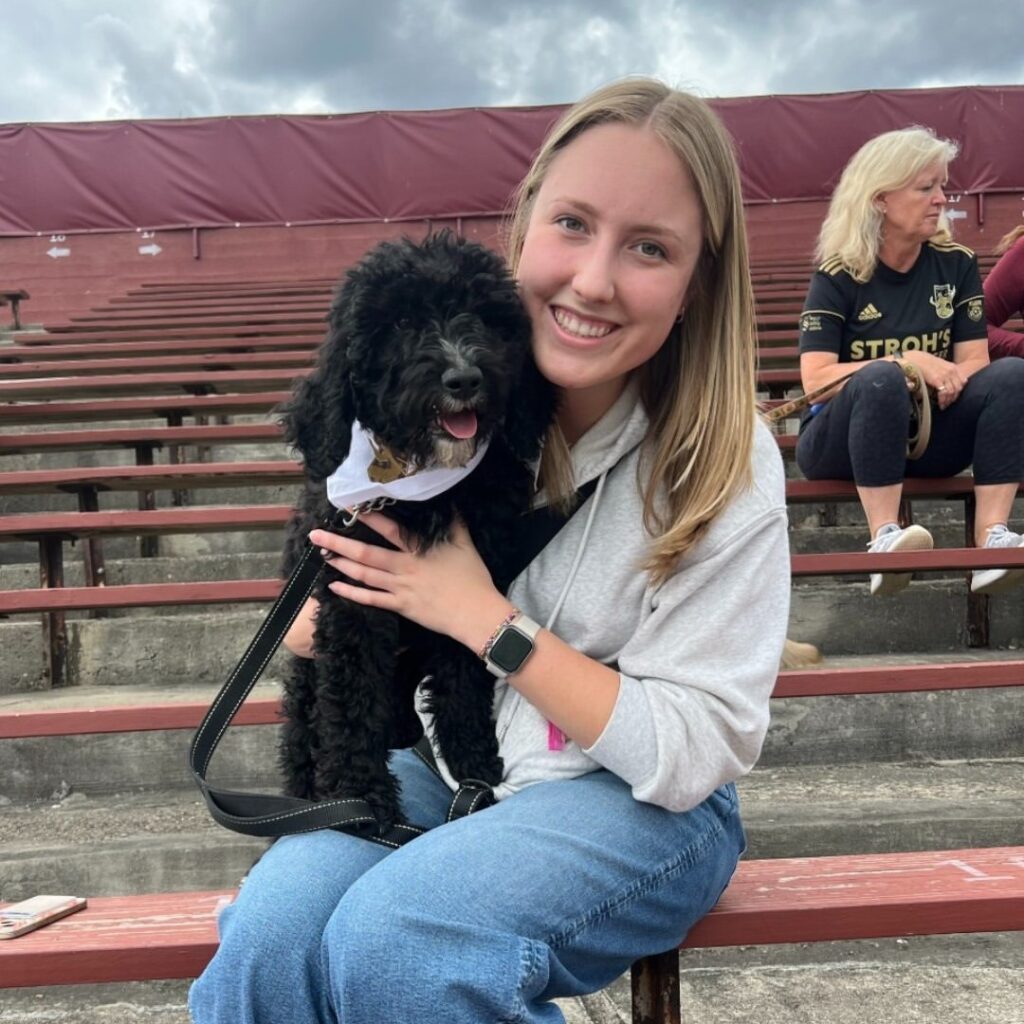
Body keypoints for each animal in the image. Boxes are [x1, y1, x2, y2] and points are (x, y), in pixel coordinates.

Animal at [276, 234, 557, 839]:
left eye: (483, 315)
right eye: (402, 322)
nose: (464, 379)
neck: (418, 489)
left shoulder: (471, 587)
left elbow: (463, 675)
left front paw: (475, 766)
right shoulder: (351, 599)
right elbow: (351, 698)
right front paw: (361, 799)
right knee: (305, 729)